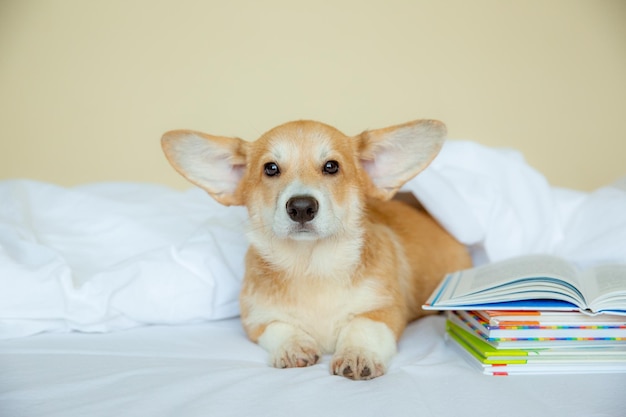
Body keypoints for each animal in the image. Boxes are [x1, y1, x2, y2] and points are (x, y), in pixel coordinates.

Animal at [161, 118, 468, 378]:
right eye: (270, 168)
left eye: (331, 166)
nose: (301, 207)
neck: (311, 265)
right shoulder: (256, 319)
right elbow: (279, 327)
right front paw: (293, 346)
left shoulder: (385, 310)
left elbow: (362, 327)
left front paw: (357, 353)